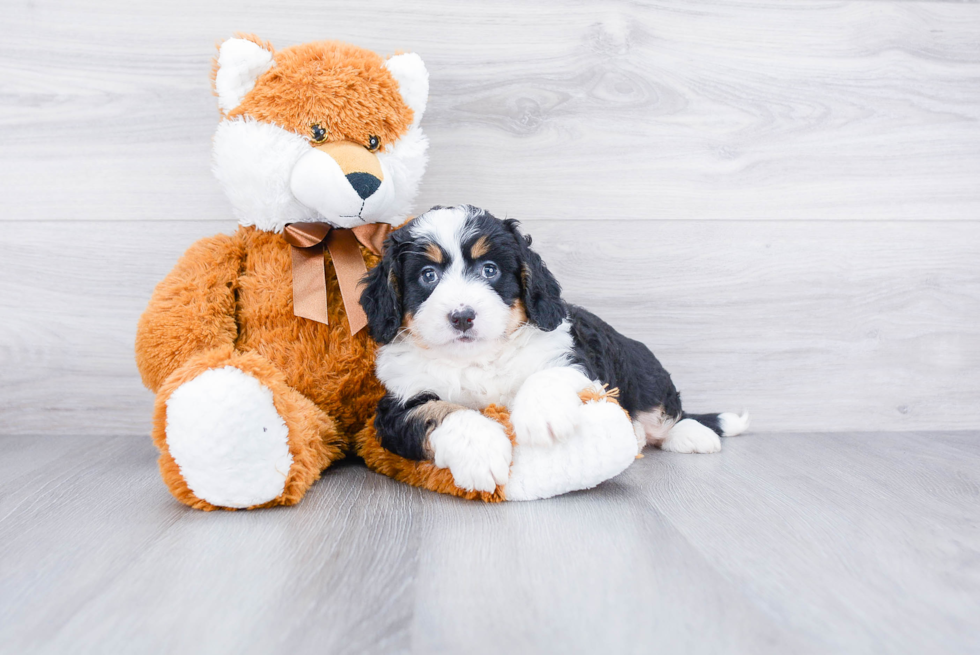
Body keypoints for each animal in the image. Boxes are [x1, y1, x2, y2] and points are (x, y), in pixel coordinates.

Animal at [362, 205, 752, 492]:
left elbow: (550, 375)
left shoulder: (573, 359)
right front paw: (481, 452)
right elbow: (442, 411)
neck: (479, 360)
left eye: (490, 270)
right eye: (428, 275)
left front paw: (542, 418)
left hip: (644, 375)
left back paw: (692, 434)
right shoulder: (396, 404)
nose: (462, 316)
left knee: (664, 414)